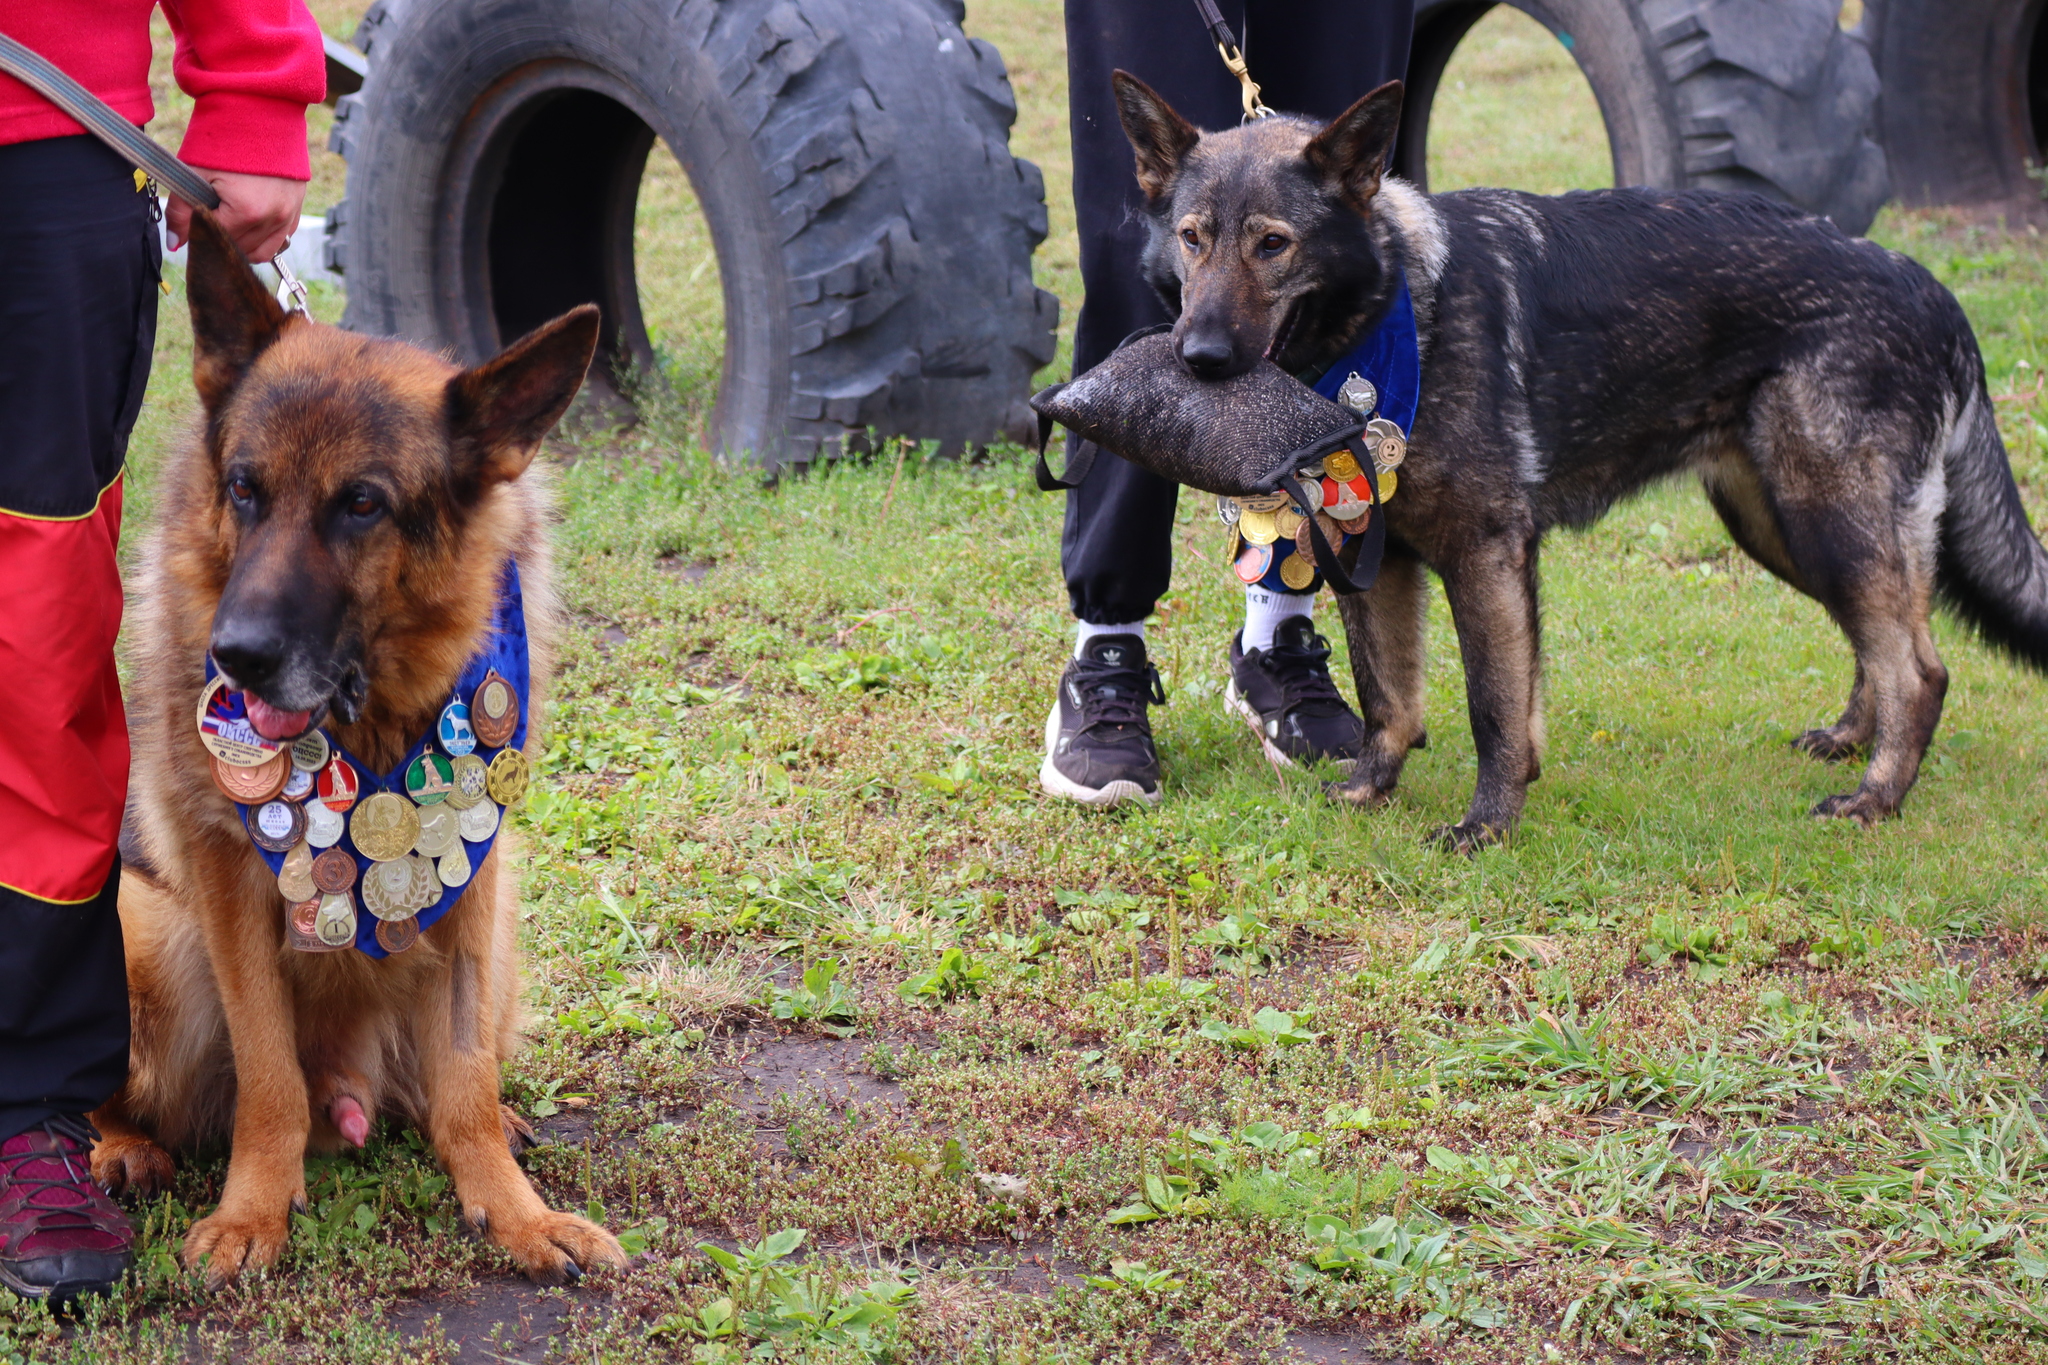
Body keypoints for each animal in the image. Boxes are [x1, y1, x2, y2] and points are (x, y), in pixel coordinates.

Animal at [88, 208, 626, 1285]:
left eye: (363, 504)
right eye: (243, 488)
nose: (236, 657)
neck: (371, 723)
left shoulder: (476, 872)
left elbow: (464, 1071)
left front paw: (511, 1206)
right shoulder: (224, 881)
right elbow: (267, 1073)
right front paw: (254, 1210)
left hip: (502, 928)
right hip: (142, 930)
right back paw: (121, 1146)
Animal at [1114, 74, 2048, 847]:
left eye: (1272, 244)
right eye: (1193, 240)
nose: (1199, 357)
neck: (1394, 312)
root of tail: (1930, 287)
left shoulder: (1486, 556)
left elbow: (1495, 707)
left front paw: (1488, 825)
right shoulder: (1377, 560)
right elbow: (1389, 694)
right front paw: (1372, 787)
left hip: (1826, 520)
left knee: (1919, 669)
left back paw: (1876, 797)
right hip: (1784, 528)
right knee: (1883, 643)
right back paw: (1853, 739)